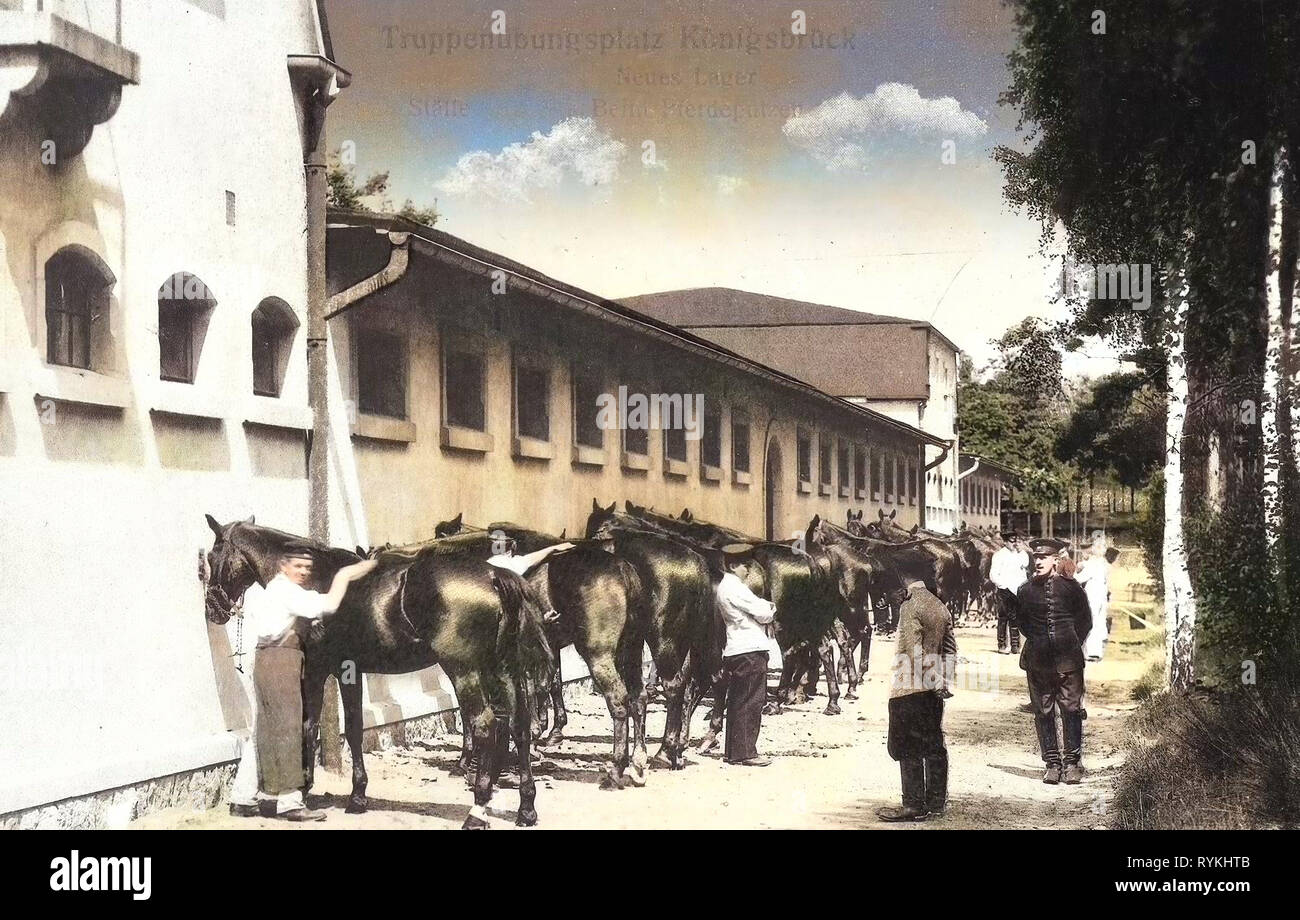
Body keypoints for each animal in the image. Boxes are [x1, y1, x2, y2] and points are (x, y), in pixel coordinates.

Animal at [201, 517, 553, 826]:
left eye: (213, 555)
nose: (212, 608)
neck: (314, 579)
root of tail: (494, 574)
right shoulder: (351, 670)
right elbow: (355, 728)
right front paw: (357, 796)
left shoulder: (317, 669)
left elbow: (309, 725)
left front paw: (305, 789)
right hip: (504, 669)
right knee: (520, 725)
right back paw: (526, 808)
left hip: (465, 670)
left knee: (484, 725)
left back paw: (477, 811)